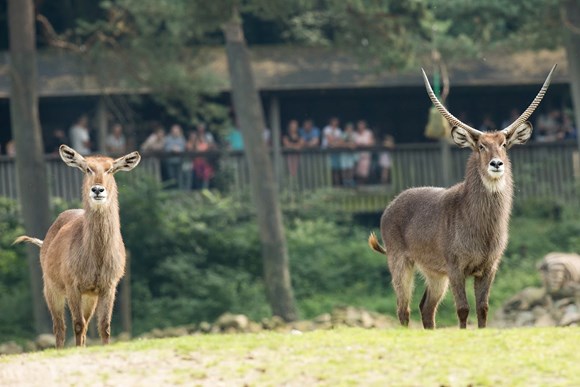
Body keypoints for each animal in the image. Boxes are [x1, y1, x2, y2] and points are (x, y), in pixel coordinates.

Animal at [13, 146, 140, 348]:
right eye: (87, 168)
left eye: (110, 169)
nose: (97, 189)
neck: (96, 259)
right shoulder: (72, 284)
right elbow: (77, 324)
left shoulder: (108, 286)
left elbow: (104, 326)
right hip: (51, 288)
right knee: (59, 327)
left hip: (89, 296)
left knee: (86, 325)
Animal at [370, 66, 556, 330]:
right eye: (480, 146)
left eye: (504, 144)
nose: (496, 164)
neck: (480, 226)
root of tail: (390, 205)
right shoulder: (455, 267)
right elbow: (463, 308)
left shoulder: (489, 267)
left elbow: (483, 308)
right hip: (400, 262)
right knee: (403, 309)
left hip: (434, 273)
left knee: (426, 308)